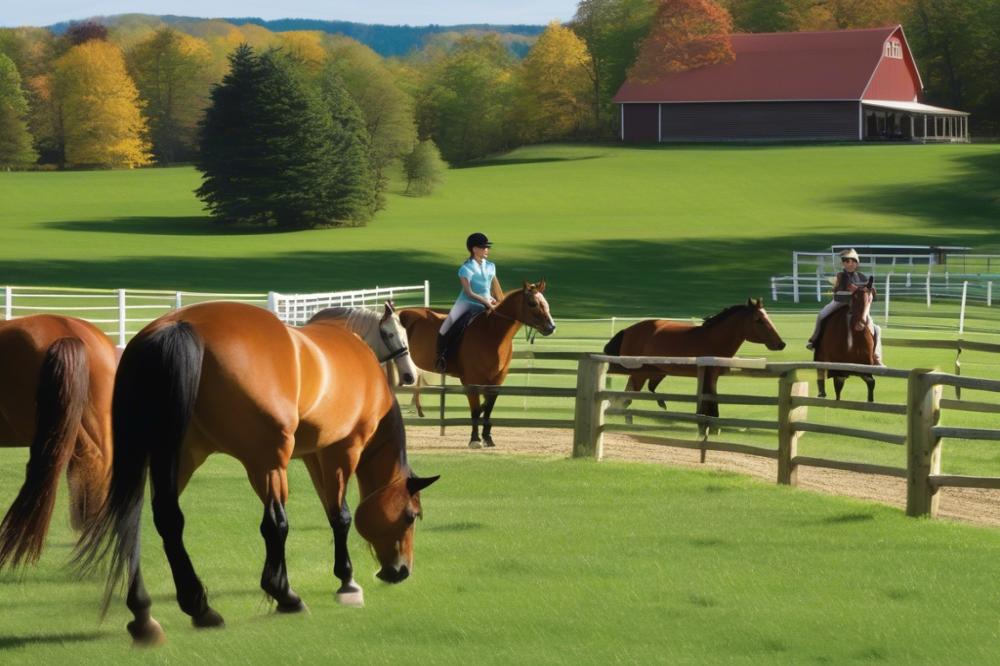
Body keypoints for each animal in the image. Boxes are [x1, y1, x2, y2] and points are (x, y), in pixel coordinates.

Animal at [74, 302, 438, 646]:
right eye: (411, 516)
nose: (400, 571)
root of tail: (178, 326)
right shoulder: (343, 449)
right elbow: (342, 516)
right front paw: (347, 582)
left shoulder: (314, 456)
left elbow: (331, 511)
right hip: (266, 462)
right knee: (274, 523)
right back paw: (285, 595)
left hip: (178, 455)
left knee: (151, 520)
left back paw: (169, 610)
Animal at [399, 281, 556, 448]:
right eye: (532, 303)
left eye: (545, 302)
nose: (551, 327)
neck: (492, 332)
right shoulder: (471, 381)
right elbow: (475, 410)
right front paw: (474, 439)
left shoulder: (497, 380)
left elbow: (487, 408)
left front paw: (487, 437)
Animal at [602, 299, 786, 420]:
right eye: (758, 320)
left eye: (767, 317)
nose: (780, 343)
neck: (713, 339)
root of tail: (627, 330)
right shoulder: (707, 376)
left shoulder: (712, 378)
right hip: (639, 374)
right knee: (626, 398)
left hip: (655, 372)